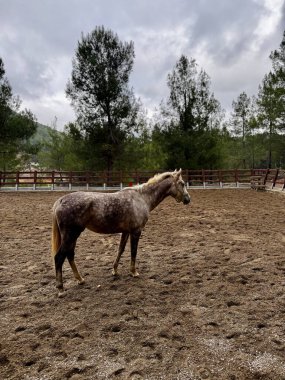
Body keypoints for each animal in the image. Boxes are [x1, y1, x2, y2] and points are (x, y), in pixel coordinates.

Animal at [51, 169, 190, 296]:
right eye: (182, 183)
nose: (188, 199)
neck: (142, 198)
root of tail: (60, 201)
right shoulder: (136, 232)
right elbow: (133, 252)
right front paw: (133, 272)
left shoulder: (126, 232)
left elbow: (120, 250)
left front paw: (115, 270)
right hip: (71, 235)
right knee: (59, 257)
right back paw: (60, 288)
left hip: (73, 235)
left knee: (70, 255)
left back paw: (80, 279)